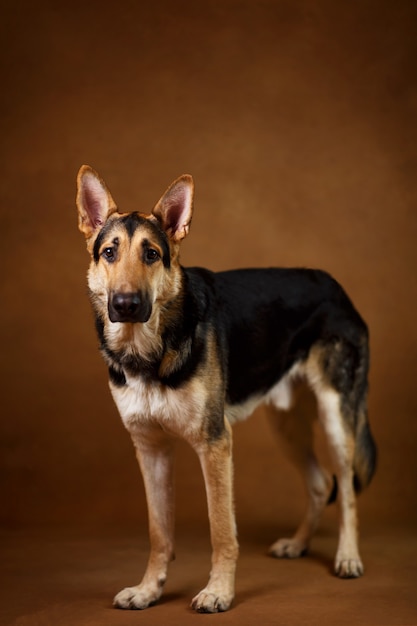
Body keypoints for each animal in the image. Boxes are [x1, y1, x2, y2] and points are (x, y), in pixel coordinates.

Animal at [75, 165, 376, 608]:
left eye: (151, 254)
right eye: (110, 253)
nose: (126, 305)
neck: (148, 350)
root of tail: (336, 287)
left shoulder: (214, 444)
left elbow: (221, 530)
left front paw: (218, 591)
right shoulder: (151, 450)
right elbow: (158, 532)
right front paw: (149, 590)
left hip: (336, 418)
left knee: (349, 490)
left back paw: (348, 557)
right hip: (286, 426)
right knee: (321, 483)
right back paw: (298, 544)